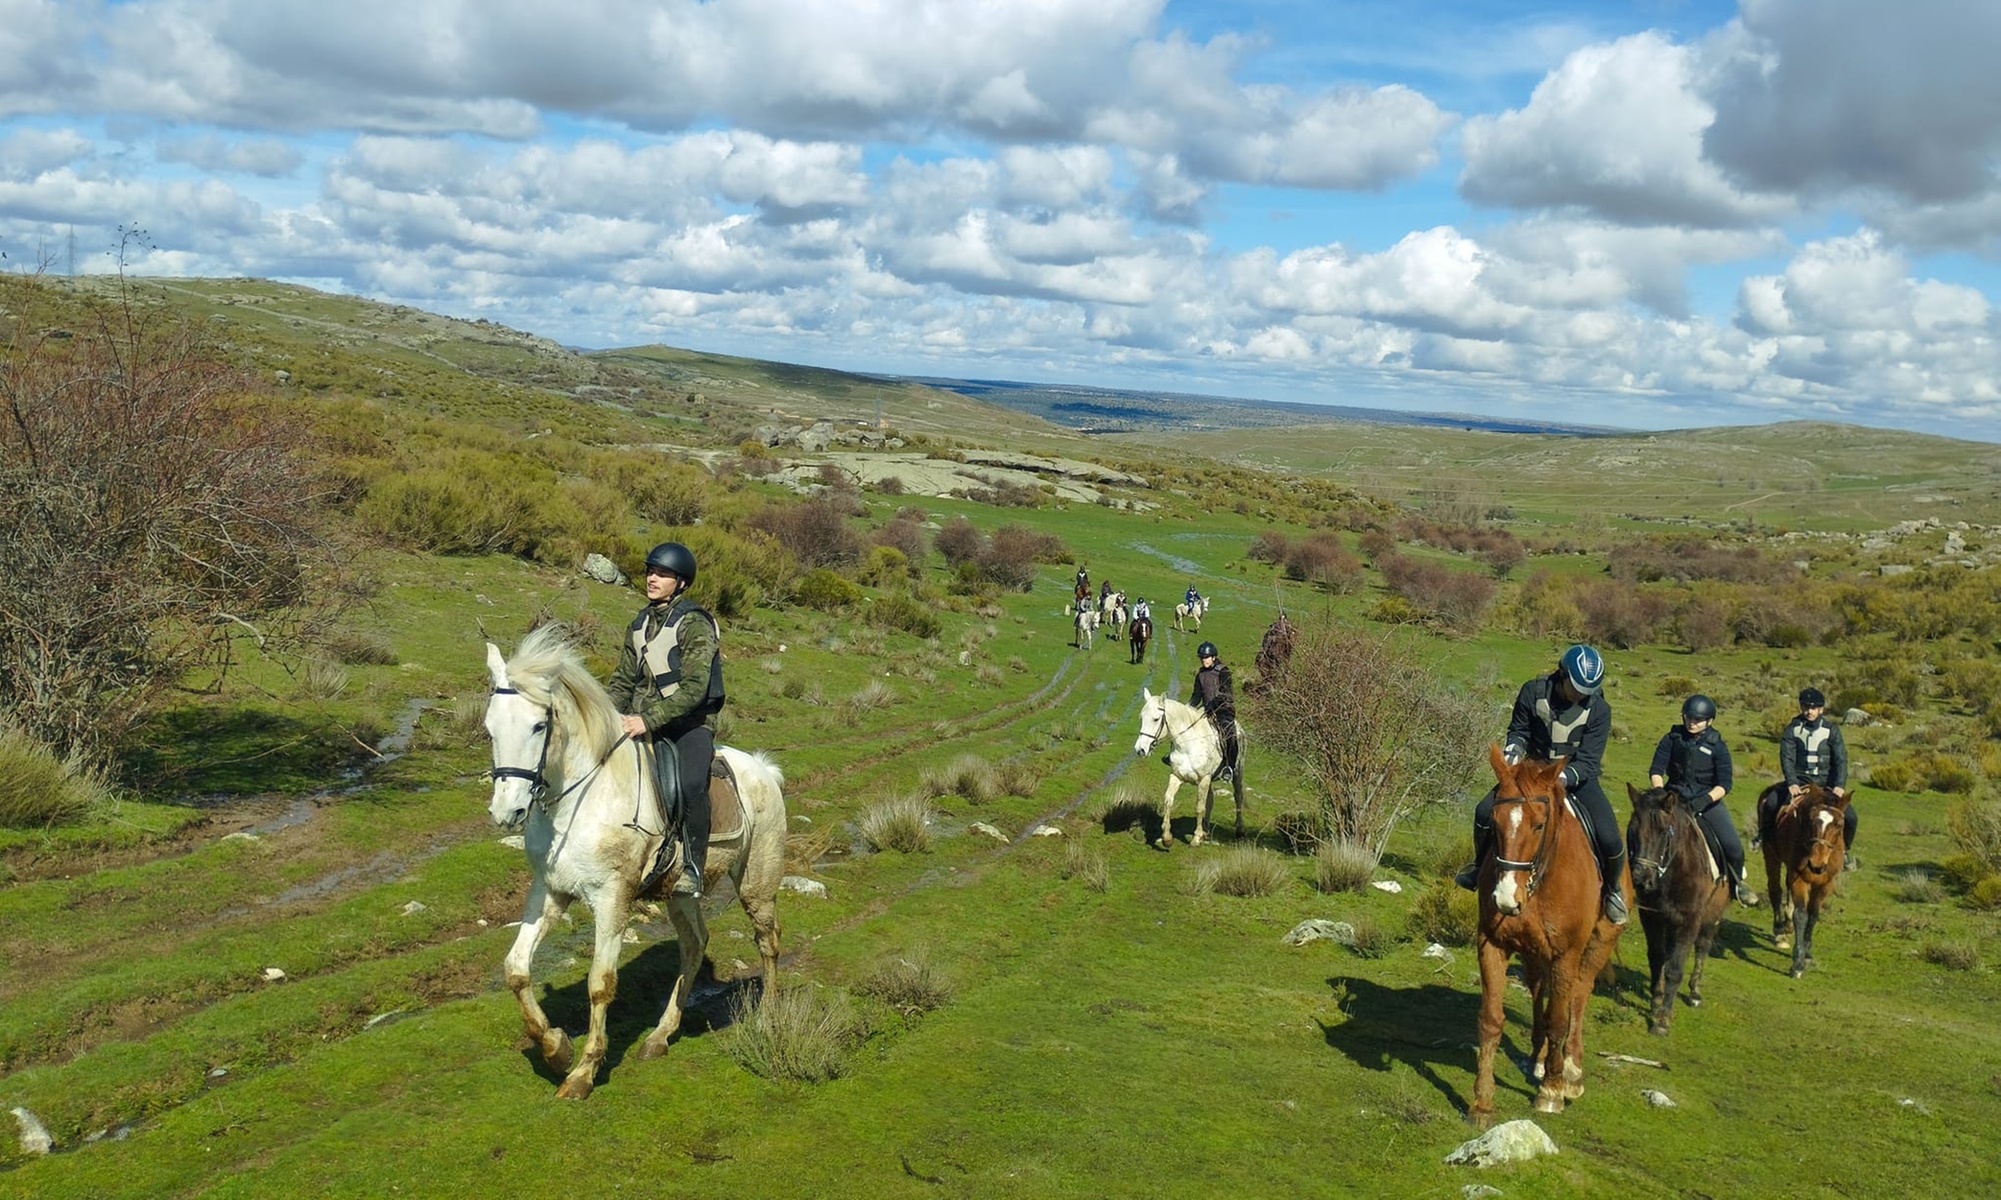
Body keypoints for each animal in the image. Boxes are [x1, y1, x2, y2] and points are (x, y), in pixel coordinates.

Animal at [483, 626, 787, 1099]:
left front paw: (583, 1072)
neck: (583, 796)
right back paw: (660, 1036)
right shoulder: (550, 890)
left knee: (767, 941)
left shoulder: (613, 898)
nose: (506, 812)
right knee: (694, 945)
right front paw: (555, 1049)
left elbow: (600, 984)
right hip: (680, 894)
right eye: (489, 728)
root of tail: (764, 772)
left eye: (539, 725)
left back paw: (769, 1015)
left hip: (757, 883)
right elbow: (515, 969)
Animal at [1132, 688, 1244, 848]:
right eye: (1142, 718)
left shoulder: (1203, 780)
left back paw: (1239, 830)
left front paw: (1196, 839)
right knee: (1210, 799)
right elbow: (1168, 801)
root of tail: (1238, 726)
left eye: (1156, 719)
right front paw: (1166, 838)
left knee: (1238, 797)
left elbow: (1199, 808)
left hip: (1237, 773)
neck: (1187, 745)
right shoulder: (1177, 776)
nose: (1140, 749)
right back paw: (1205, 831)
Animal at [1470, 747, 1629, 1129]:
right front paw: (1482, 1102)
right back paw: (1540, 1058)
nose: (1505, 900)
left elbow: (1559, 1020)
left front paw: (1552, 1092)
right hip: (1534, 954)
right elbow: (1491, 1020)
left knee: (1578, 997)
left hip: (1596, 945)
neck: (1538, 882)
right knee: (1540, 990)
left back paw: (1570, 1070)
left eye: (1539, 825)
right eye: (1493, 822)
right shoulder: (1492, 944)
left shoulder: (1566, 955)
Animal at [1626, 784, 1731, 1035]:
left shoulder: (1689, 922)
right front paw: (1656, 1003)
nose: (1641, 879)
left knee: (1702, 948)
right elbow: (1657, 958)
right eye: (1632, 830)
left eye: (1664, 832)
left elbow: (1674, 969)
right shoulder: (1651, 918)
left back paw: (1695, 993)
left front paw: (1662, 1021)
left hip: (1711, 919)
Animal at [1759, 782, 1849, 978]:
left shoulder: (1826, 884)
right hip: (1771, 855)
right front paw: (1797, 963)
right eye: (1811, 820)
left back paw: (1787, 926)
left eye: (1839, 824)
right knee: (1775, 889)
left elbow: (1813, 915)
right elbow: (1801, 915)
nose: (1816, 864)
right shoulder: (1799, 877)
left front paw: (1807, 954)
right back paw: (1780, 932)